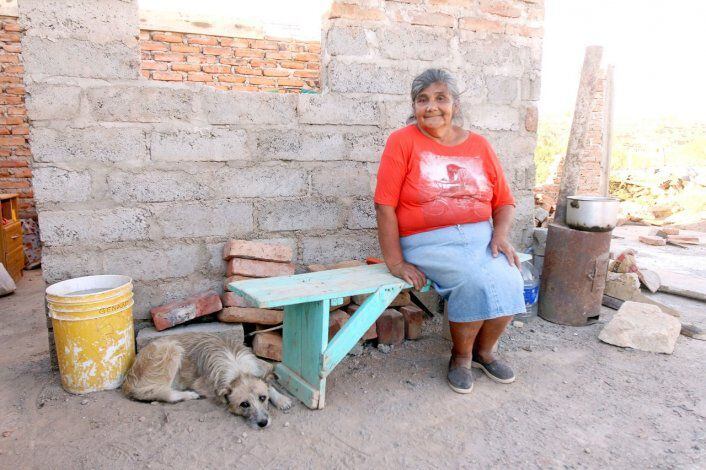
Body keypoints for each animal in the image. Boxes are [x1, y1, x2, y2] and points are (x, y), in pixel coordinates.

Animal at [124, 332, 292, 428]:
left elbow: (269, 382)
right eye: (244, 404)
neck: (238, 371)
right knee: (154, 391)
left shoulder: (258, 365)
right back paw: (187, 394)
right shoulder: (205, 386)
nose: (263, 423)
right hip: (172, 349)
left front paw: (281, 399)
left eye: (262, 398)